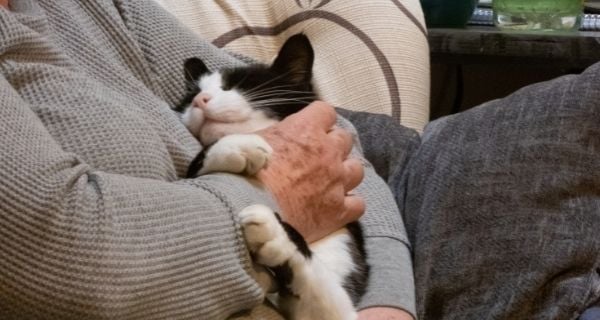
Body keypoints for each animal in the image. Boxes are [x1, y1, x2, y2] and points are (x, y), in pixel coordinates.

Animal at [176, 35, 368, 320]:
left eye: (235, 85)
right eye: (190, 97)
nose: (200, 99)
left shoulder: (342, 239)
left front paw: (278, 236)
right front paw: (239, 145)